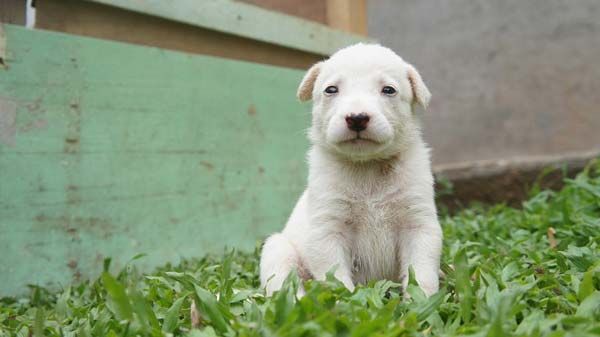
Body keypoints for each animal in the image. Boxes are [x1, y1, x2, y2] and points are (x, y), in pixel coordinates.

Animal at [260, 43, 442, 296]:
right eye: (331, 89)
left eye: (388, 90)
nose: (357, 118)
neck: (366, 166)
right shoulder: (327, 228)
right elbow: (335, 277)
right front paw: (344, 301)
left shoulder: (419, 223)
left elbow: (421, 271)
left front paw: (421, 300)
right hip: (277, 250)